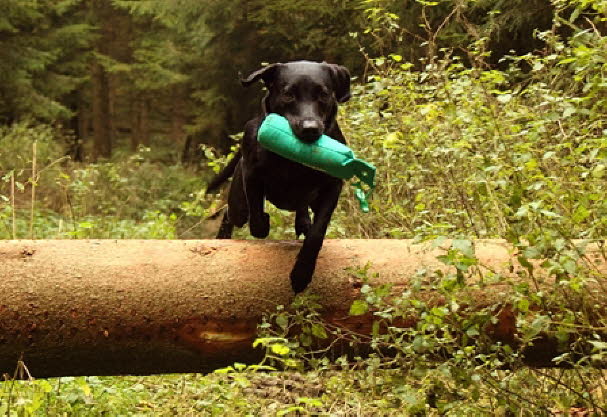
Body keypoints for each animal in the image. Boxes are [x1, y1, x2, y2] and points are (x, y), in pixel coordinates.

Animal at [207, 61, 352, 292]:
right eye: (288, 95)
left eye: (323, 94)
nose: (310, 129)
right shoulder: (252, 176)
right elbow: (257, 218)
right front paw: (263, 224)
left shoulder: (332, 186)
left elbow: (317, 232)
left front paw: (302, 274)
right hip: (239, 202)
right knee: (232, 213)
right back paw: (222, 237)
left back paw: (302, 222)